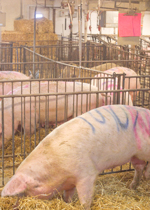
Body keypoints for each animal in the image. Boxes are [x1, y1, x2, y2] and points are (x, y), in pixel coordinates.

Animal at [1, 104, 150, 209]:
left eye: (32, 188)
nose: (15, 206)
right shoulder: (69, 181)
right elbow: (67, 196)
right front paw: (67, 203)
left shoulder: (87, 174)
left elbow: (85, 198)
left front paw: (84, 206)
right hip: (136, 155)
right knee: (139, 167)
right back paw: (132, 186)